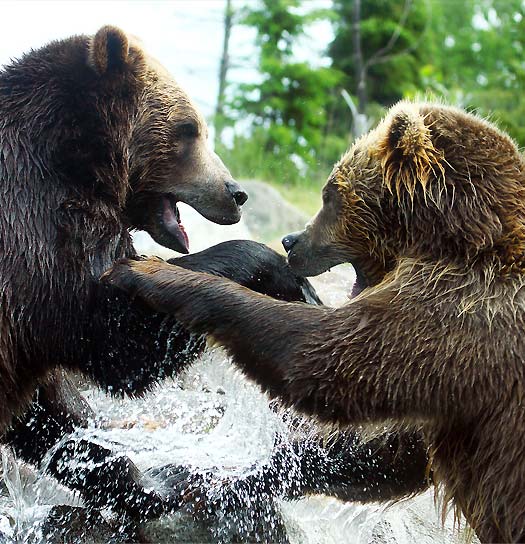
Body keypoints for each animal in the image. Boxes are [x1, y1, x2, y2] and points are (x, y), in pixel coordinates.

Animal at [0, 24, 322, 528]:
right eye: (189, 128)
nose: (236, 192)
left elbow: (46, 414)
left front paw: (149, 484)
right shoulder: (38, 230)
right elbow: (120, 336)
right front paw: (289, 279)